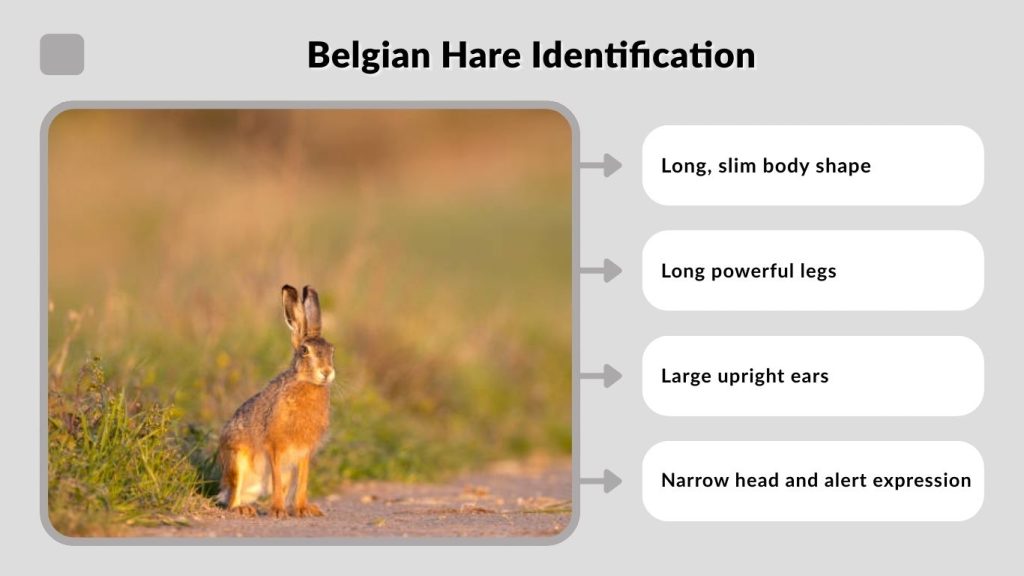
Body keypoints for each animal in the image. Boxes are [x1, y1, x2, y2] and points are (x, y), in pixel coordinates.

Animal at [217, 285, 335, 518]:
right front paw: (279, 511)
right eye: (304, 351)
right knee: (232, 497)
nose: (326, 372)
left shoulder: (304, 452)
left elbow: (303, 481)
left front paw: (303, 509)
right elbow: (276, 476)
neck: (305, 382)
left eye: (331, 350)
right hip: (237, 461)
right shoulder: (275, 446)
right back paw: (245, 508)